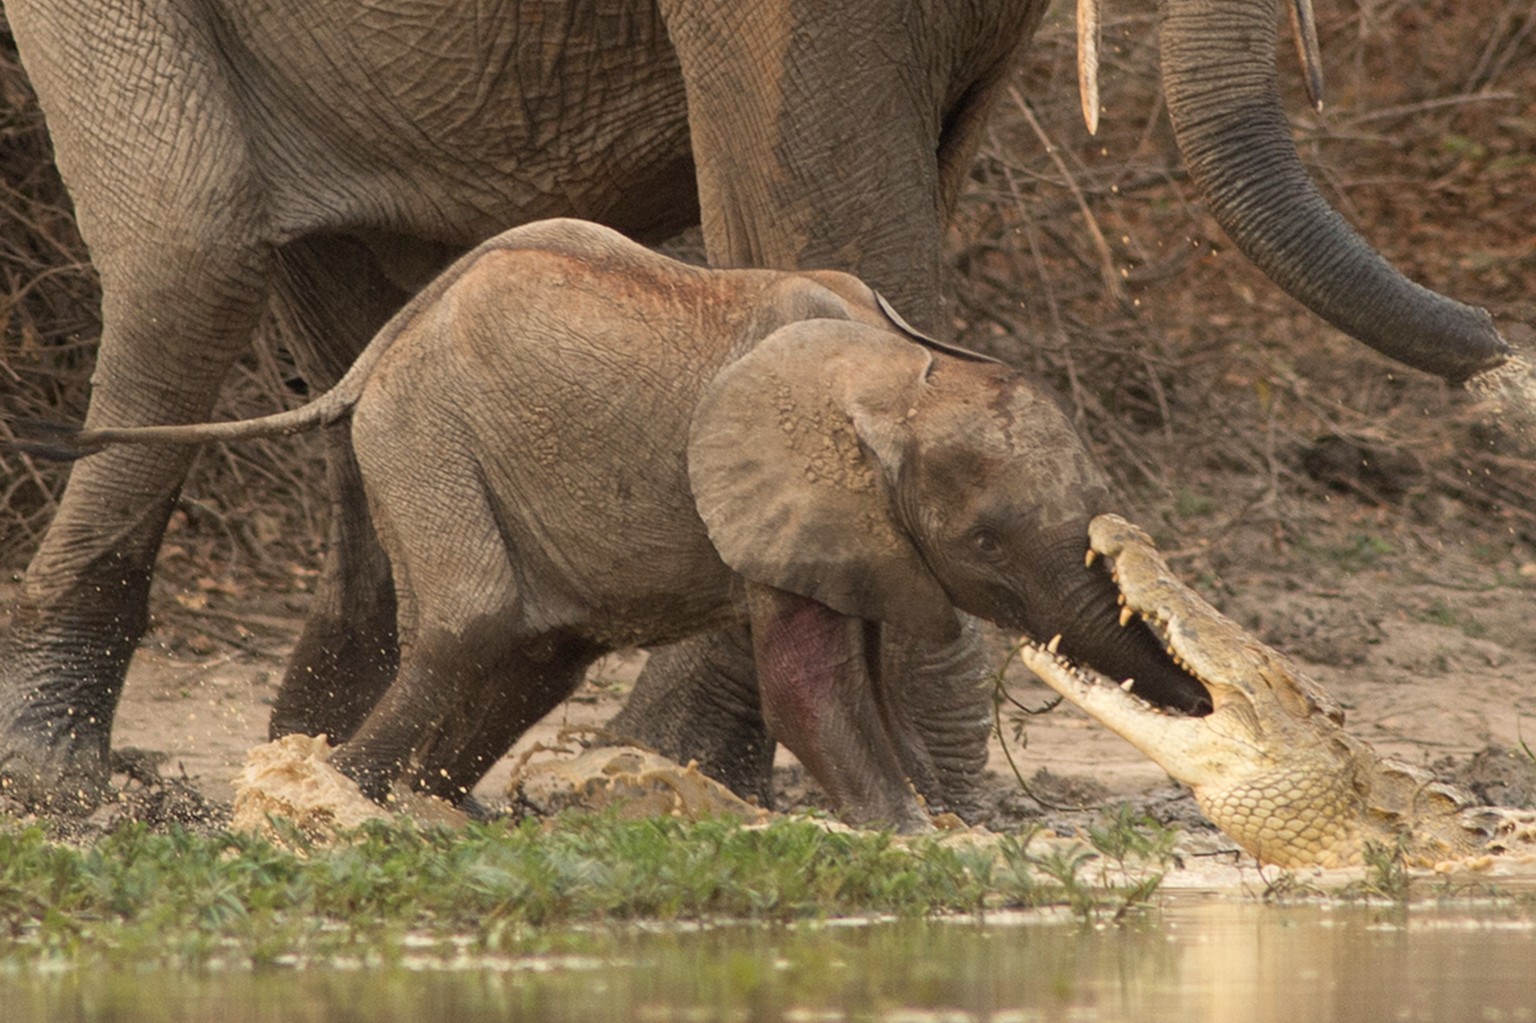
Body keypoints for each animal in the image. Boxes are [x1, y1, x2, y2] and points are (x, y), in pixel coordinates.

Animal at [27, 219, 1198, 823]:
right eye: (988, 542)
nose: (1209, 699)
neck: (895, 370)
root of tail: (380, 348)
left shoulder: (856, 527)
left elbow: (862, 675)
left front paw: (939, 825)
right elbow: (807, 683)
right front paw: (920, 834)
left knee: (542, 650)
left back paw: (420, 806)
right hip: (426, 436)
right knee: (469, 626)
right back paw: (343, 804)